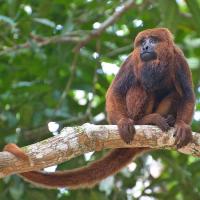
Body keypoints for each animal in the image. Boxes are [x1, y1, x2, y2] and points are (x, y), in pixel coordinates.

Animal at [2, 27, 195, 188]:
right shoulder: (131, 60)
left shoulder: (179, 58)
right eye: (142, 42)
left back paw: (168, 119)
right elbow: (115, 92)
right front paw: (123, 122)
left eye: (153, 40)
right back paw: (145, 120)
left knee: (175, 93)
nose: (146, 47)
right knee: (140, 86)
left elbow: (187, 94)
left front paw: (182, 126)